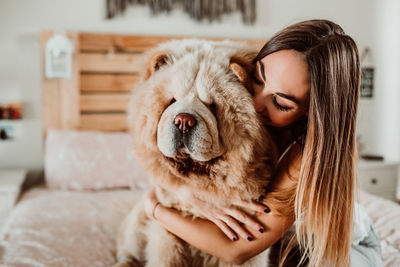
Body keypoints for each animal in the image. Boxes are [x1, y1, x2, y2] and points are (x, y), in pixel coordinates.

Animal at [115, 39, 278, 267]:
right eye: (172, 101)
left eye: (212, 105)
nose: (183, 121)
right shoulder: (168, 224)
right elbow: (166, 257)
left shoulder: (248, 235)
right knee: (127, 249)